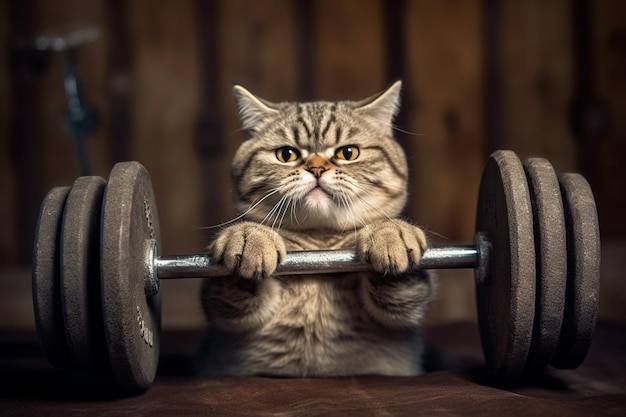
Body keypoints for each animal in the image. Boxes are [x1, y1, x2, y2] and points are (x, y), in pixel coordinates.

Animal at [197, 81, 432, 376]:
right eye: (287, 154)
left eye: (348, 153)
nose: (317, 169)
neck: (320, 243)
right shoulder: (223, 308)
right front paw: (248, 237)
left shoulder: (407, 305)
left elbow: (399, 282)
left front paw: (390, 234)